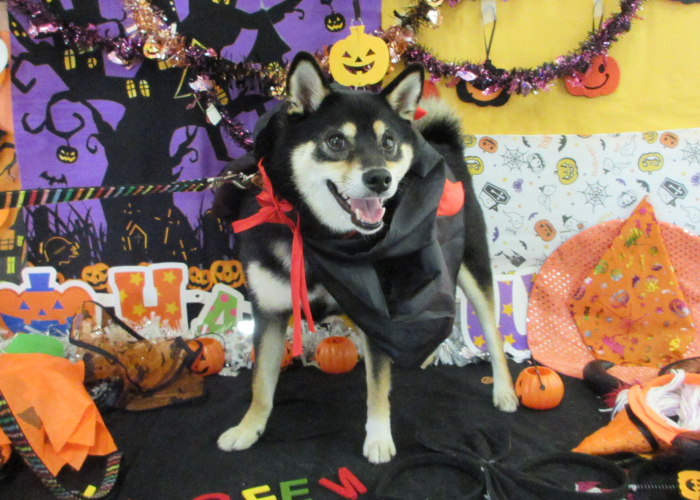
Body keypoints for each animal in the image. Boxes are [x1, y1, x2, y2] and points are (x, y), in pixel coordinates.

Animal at [214, 52, 518, 464]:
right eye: (335, 141)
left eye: (388, 142)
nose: (380, 179)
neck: (317, 236)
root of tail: (447, 147)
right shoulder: (270, 312)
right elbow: (261, 383)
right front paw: (249, 428)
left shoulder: (376, 315)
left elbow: (377, 385)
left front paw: (377, 439)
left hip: (471, 266)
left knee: (492, 332)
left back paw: (504, 391)